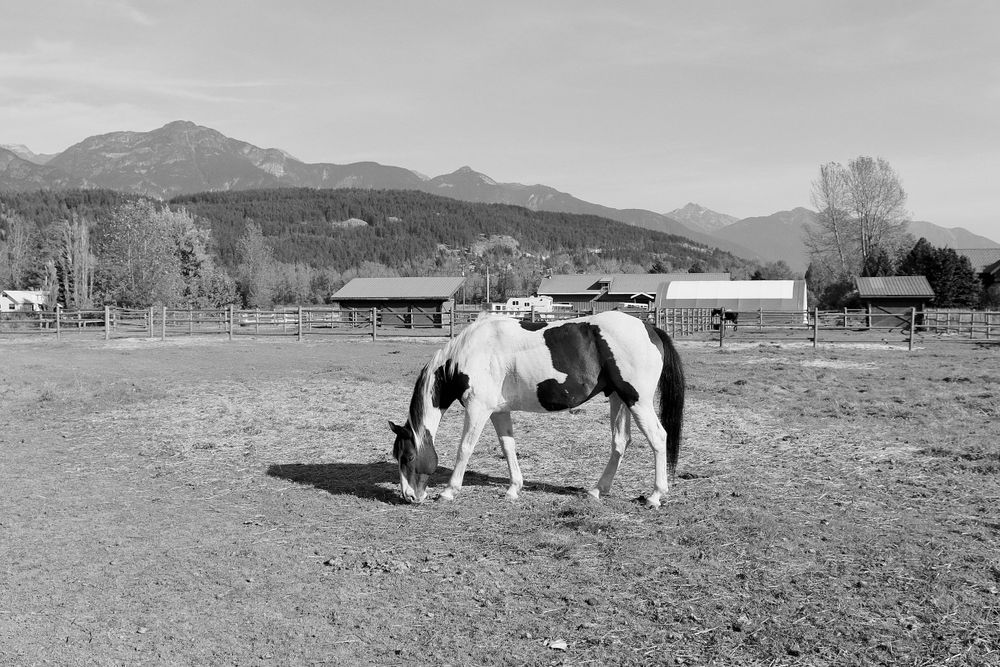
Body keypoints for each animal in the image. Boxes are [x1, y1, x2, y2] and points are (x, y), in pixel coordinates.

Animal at [388, 310, 685, 507]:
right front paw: (513, 489)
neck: (470, 353)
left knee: (658, 438)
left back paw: (655, 495)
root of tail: (648, 327)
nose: (409, 496)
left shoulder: (478, 409)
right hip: (618, 399)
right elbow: (508, 446)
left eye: (409, 457)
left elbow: (465, 448)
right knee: (620, 442)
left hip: (637, 401)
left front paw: (450, 490)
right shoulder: (498, 411)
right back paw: (598, 490)